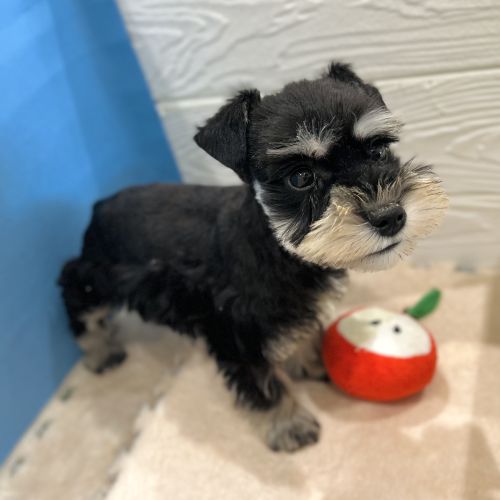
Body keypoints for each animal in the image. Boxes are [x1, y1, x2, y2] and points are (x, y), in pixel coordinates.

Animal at [58, 62, 447, 452]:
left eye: (379, 151)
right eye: (300, 177)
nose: (391, 216)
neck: (279, 248)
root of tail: (99, 206)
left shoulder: (292, 309)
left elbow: (300, 333)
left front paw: (310, 362)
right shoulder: (235, 334)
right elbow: (265, 385)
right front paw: (289, 426)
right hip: (95, 277)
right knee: (78, 301)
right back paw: (99, 351)